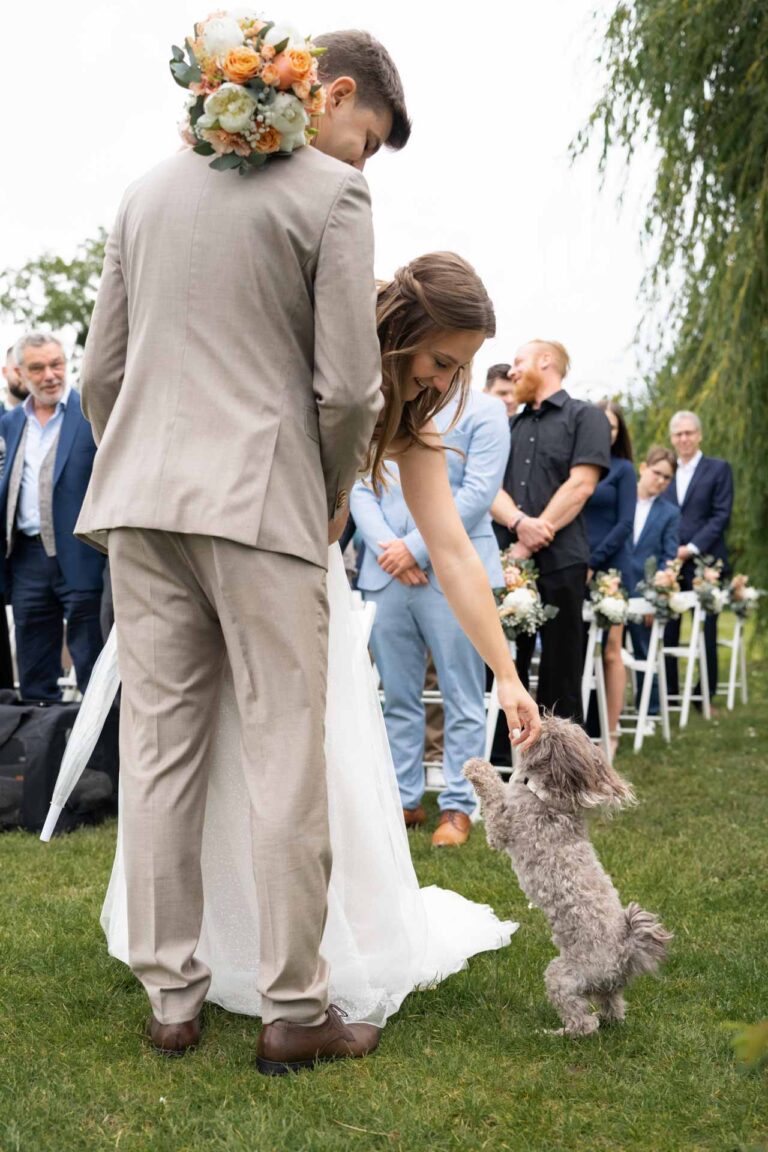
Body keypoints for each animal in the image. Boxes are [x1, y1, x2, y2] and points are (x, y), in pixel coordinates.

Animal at [462, 718, 672, 1036]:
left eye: (551, 730)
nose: (542, 716)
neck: (549, 797)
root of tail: (625, 952)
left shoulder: (501, 827)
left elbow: (495, 798)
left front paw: (477, 766)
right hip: (605, 987)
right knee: (613, 1005)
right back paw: (609, 1019)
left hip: (563, 976)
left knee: (583, 1022)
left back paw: (559, 1034)